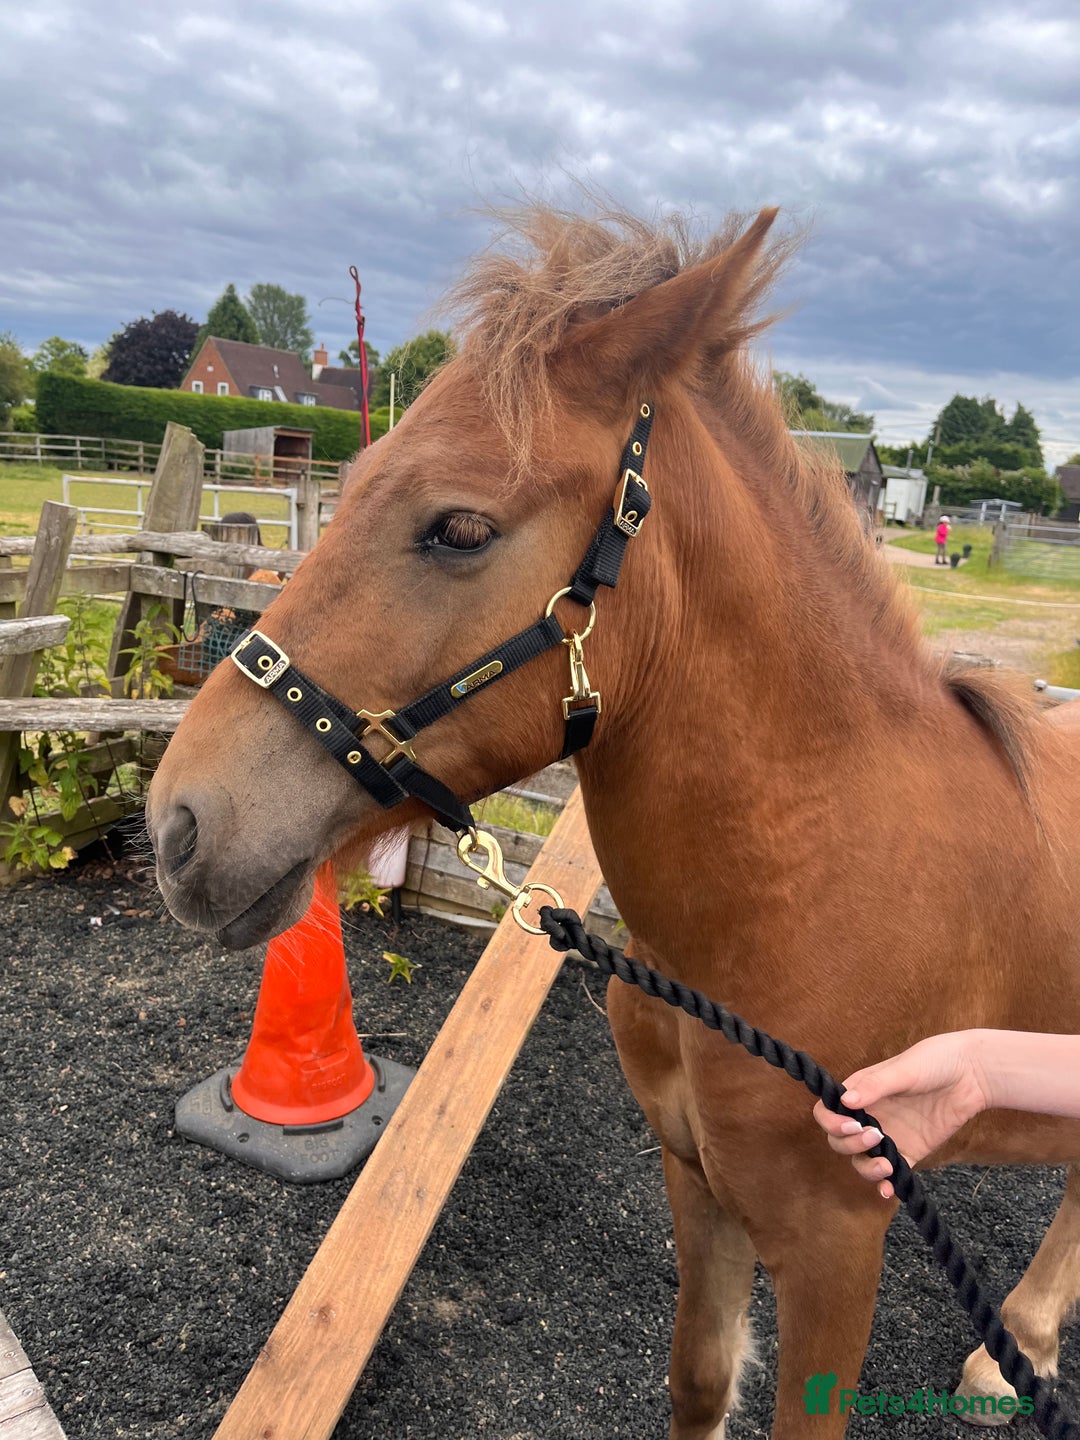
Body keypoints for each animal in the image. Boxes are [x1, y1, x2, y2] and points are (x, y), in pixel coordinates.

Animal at [146, 202, 1080, 1438]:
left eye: (459, 528)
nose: (177, 824)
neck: (807, 893)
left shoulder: (841, 1240)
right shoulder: (697, 1179)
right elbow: (699, 1378)